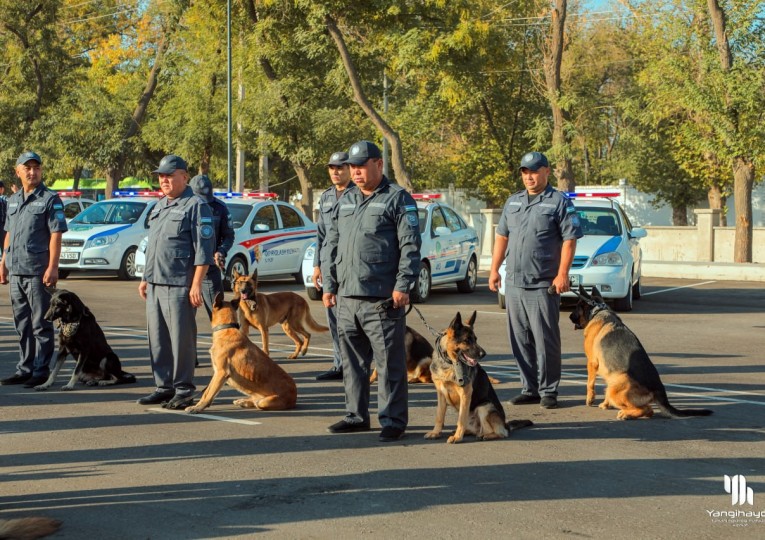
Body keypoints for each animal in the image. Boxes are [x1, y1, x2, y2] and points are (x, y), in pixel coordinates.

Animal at [424, 312, 532, 442]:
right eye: (466, 340)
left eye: (475, 339)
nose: (483, 354)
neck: (449, 363)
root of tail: (505, 424)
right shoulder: (441, 394)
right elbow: (439, 416)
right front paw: (436, 432)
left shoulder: (465, 393)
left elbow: (461, 419)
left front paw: (457, 437)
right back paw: (467, 432)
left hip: (484, 407)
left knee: (501, 433)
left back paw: (486, 435)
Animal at [572, 284, 712, 420]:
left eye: (577, 307)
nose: (569, 316)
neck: (597, 311)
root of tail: (658, 389)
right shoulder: (609, 372)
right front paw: (606, 404)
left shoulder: (592, 363)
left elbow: (590, 383)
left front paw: (590, 399)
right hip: (614, 384)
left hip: (616, 389)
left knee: (648, 410)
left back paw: (626, 414)